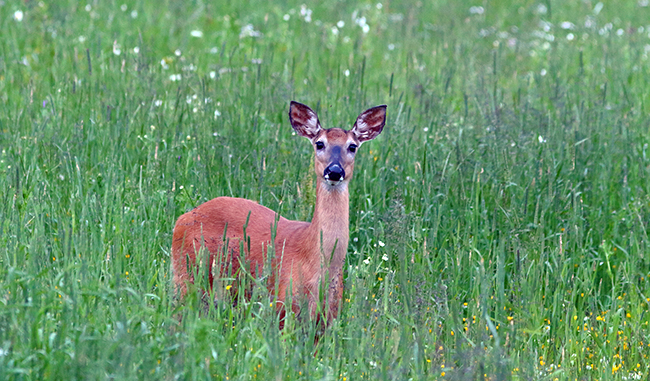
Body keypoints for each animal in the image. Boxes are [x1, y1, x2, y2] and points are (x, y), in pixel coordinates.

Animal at [171, 101, 384, 326]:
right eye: (319, 144)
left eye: (352, 146)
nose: (334, 171)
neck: (316, 264)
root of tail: (184, 217)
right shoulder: (283, 304)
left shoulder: (329, 318)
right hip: (186, 274)